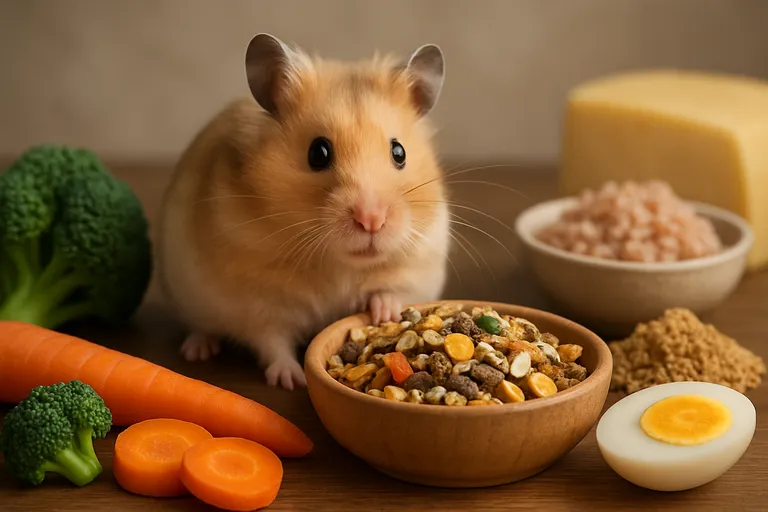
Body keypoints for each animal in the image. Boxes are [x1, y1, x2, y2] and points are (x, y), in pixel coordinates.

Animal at [156, 33, 451, 390]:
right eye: (318, 153)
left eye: (399, 152)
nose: (371, 220)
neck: (336, 263)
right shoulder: (258, 302)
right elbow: (272, 341)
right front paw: (292, 380)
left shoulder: (418, 262)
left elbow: (390, 290)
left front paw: (386, 314)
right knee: (201, 327)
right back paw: (198, 351)